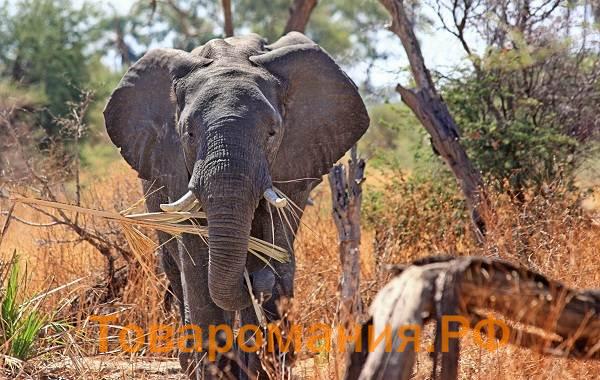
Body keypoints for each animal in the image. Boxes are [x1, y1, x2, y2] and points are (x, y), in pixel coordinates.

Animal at [103, 31, 370, 378]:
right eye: (188, 133)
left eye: (272, 132)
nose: (255, 279)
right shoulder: (175, 165)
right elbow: (198, 263)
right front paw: (220, 373)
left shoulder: (291, 162)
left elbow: (276, 241)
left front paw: (265, 369)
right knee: (174, 268)